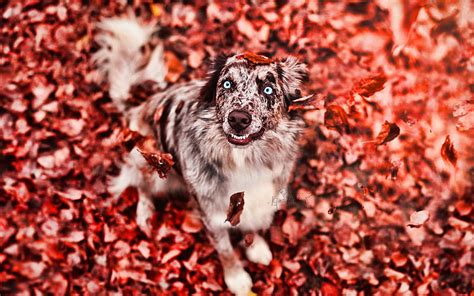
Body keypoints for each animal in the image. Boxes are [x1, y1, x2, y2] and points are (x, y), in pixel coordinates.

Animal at [92, 16, 308, 296]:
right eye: (227, 84)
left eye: (268, 89)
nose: (238, 119)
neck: (245, 160)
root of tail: (140, 105)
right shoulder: (211, 214)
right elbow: (225, 250)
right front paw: (236, 278)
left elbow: (253, 224)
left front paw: (256, 246)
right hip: (151, 162)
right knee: (141, 185)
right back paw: (145, 212)